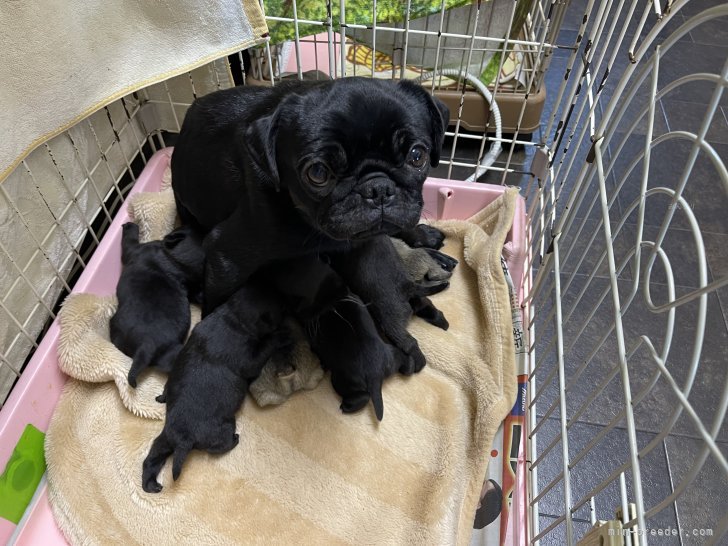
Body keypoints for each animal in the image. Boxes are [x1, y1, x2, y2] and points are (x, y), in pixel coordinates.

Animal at [142, 282, 290, 490]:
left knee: (152, 458)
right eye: (282, 307)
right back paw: (235, 439)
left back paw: (151, 484)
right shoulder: (250, 358)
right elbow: (265, 347)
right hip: (223, 429)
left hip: (164, 440)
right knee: (222, 445)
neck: (234, 316)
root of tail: (183, 439)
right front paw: (281, 336)